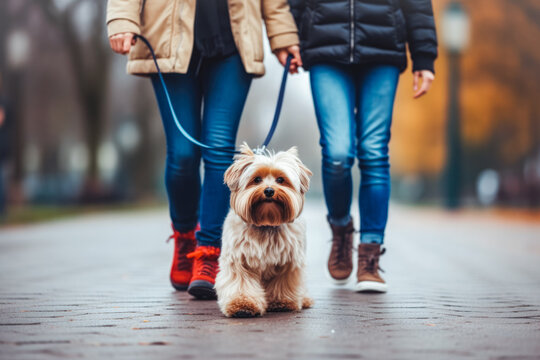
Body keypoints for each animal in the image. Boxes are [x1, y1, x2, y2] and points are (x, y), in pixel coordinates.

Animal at [216, 144, 312, 318]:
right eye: (256, 179)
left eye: (280, 180)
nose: (268, 190)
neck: (266, 223)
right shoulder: (239, 261)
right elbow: (241, 284)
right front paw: (242, 305)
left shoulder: (289, 263)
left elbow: (283, 283)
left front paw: (282, 302)